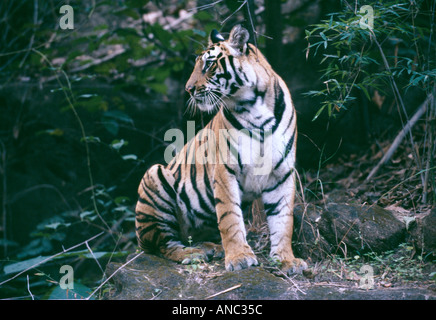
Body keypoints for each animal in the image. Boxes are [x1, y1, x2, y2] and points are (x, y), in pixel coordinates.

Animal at [135, 25, 308, 276]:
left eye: (208, 65)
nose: (188, 89)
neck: (255, 106)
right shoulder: (225, 170)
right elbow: (230, 218)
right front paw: (239, 257)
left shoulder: (282, 173)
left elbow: (284, 221)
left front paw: (287, 260)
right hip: (155, 175)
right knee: (162, 244)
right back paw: (192, 254)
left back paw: (211, 248)